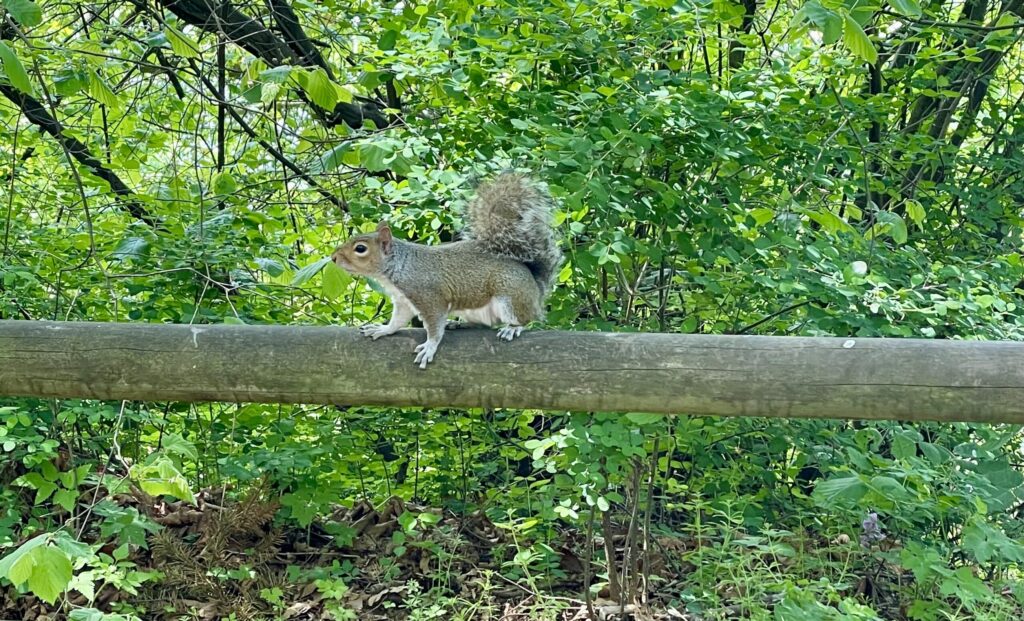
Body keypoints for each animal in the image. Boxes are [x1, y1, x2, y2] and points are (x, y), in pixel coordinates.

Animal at [330, 172, 562, 368]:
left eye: (360, 249)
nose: (333, 258)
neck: (401, 266)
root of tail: (535, 286)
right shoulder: (403, 300)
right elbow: (398, 320)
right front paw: (383, 329)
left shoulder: (429, 297)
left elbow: (434, 327)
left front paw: (429, 347)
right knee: (485, 325)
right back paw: (460, 325)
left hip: (510, 296)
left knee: (527, 318)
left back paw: (513, 327)